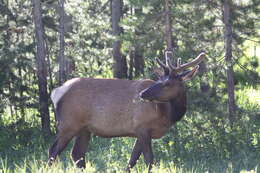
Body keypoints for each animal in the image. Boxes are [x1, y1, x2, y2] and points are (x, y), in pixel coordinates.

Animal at [48, 52, 207, 172]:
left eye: (167, 83)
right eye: (159, 79)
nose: (142, 94)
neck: (167, 113)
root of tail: (56, 93)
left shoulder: (140, 132)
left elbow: (132, 160)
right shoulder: (142, 126)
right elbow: (149, 160)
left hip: (85, 129)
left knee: (77, 154)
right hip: (68, 123)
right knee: (53, 151)